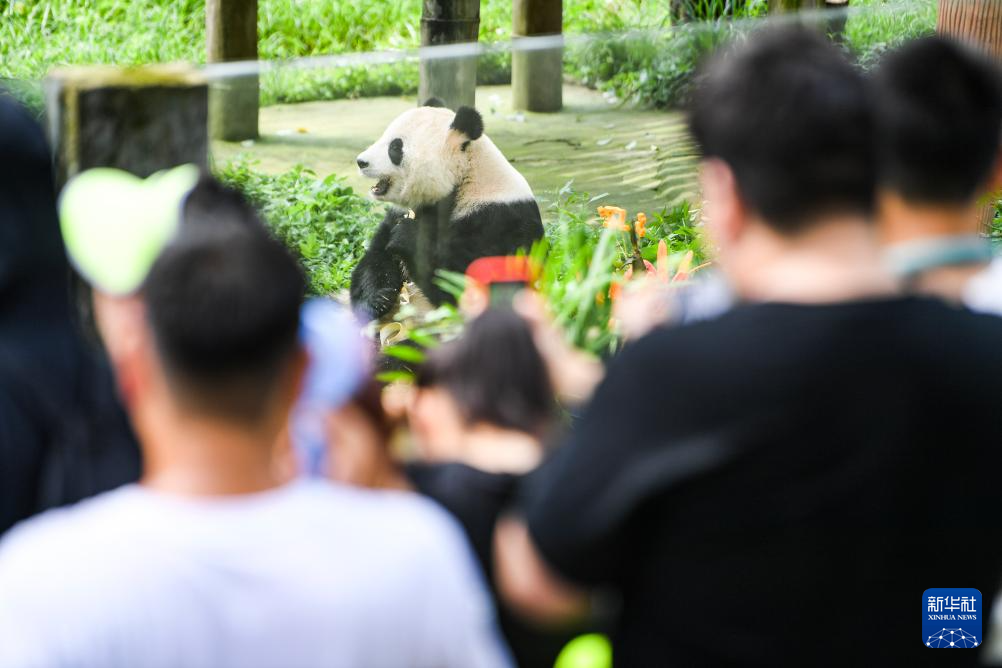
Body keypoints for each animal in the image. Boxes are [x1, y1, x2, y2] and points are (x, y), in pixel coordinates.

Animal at [350, 98, 545, 320]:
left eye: (395, 147)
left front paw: (407, 235)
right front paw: (376, 299)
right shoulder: (398, 213)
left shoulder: (501, 219)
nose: (361, 162)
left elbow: (472, 283)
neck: (465, 176)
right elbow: (376, 256)